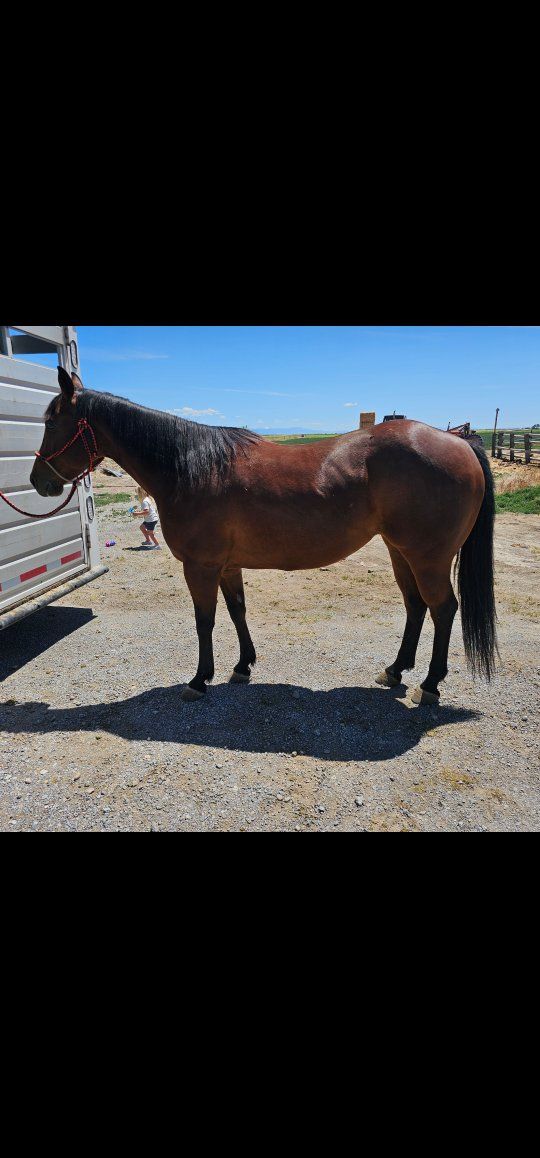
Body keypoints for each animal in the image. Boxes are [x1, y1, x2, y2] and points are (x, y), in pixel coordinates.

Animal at [30, 368, 497, 705]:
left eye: (52, 422)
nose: (39, 481)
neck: (190, 468)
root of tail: (458, 442)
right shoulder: (226, 565)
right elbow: (237, 611)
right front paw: (243, 667)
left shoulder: (200, 566)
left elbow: (204, 620)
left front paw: (199, 680)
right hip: (400, 552)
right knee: (416, 606)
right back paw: (395, 670)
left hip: (428, 557)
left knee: (443, 609)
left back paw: (430, 685)